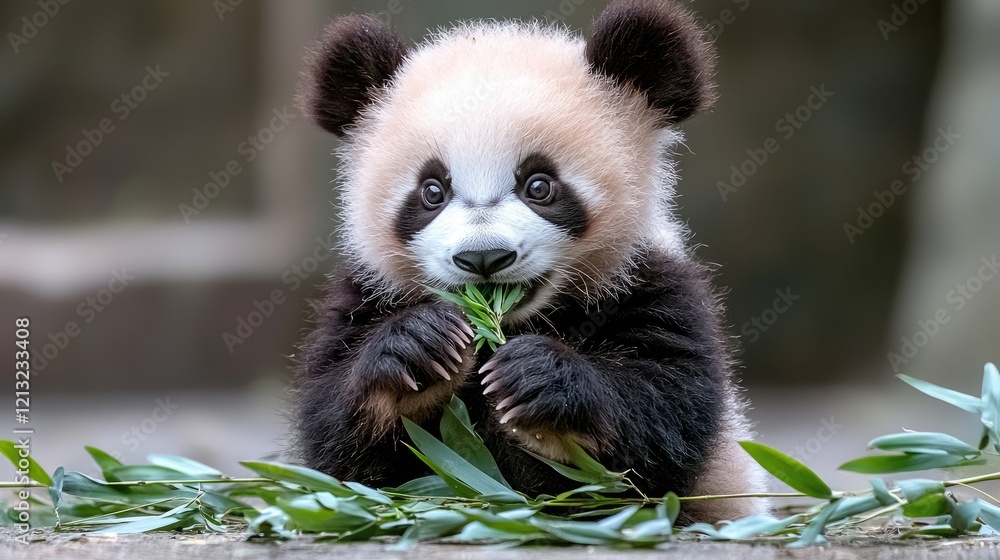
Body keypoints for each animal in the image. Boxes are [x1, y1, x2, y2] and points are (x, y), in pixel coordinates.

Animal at [293, 0, 769, 522]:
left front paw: (535, 381)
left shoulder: (652, 282)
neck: (515, 321)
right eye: (432, 191)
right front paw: (420, 345)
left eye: (539, 185)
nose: (483, 257)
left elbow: (663, 420)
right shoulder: (366, 293)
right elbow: (337, 442)